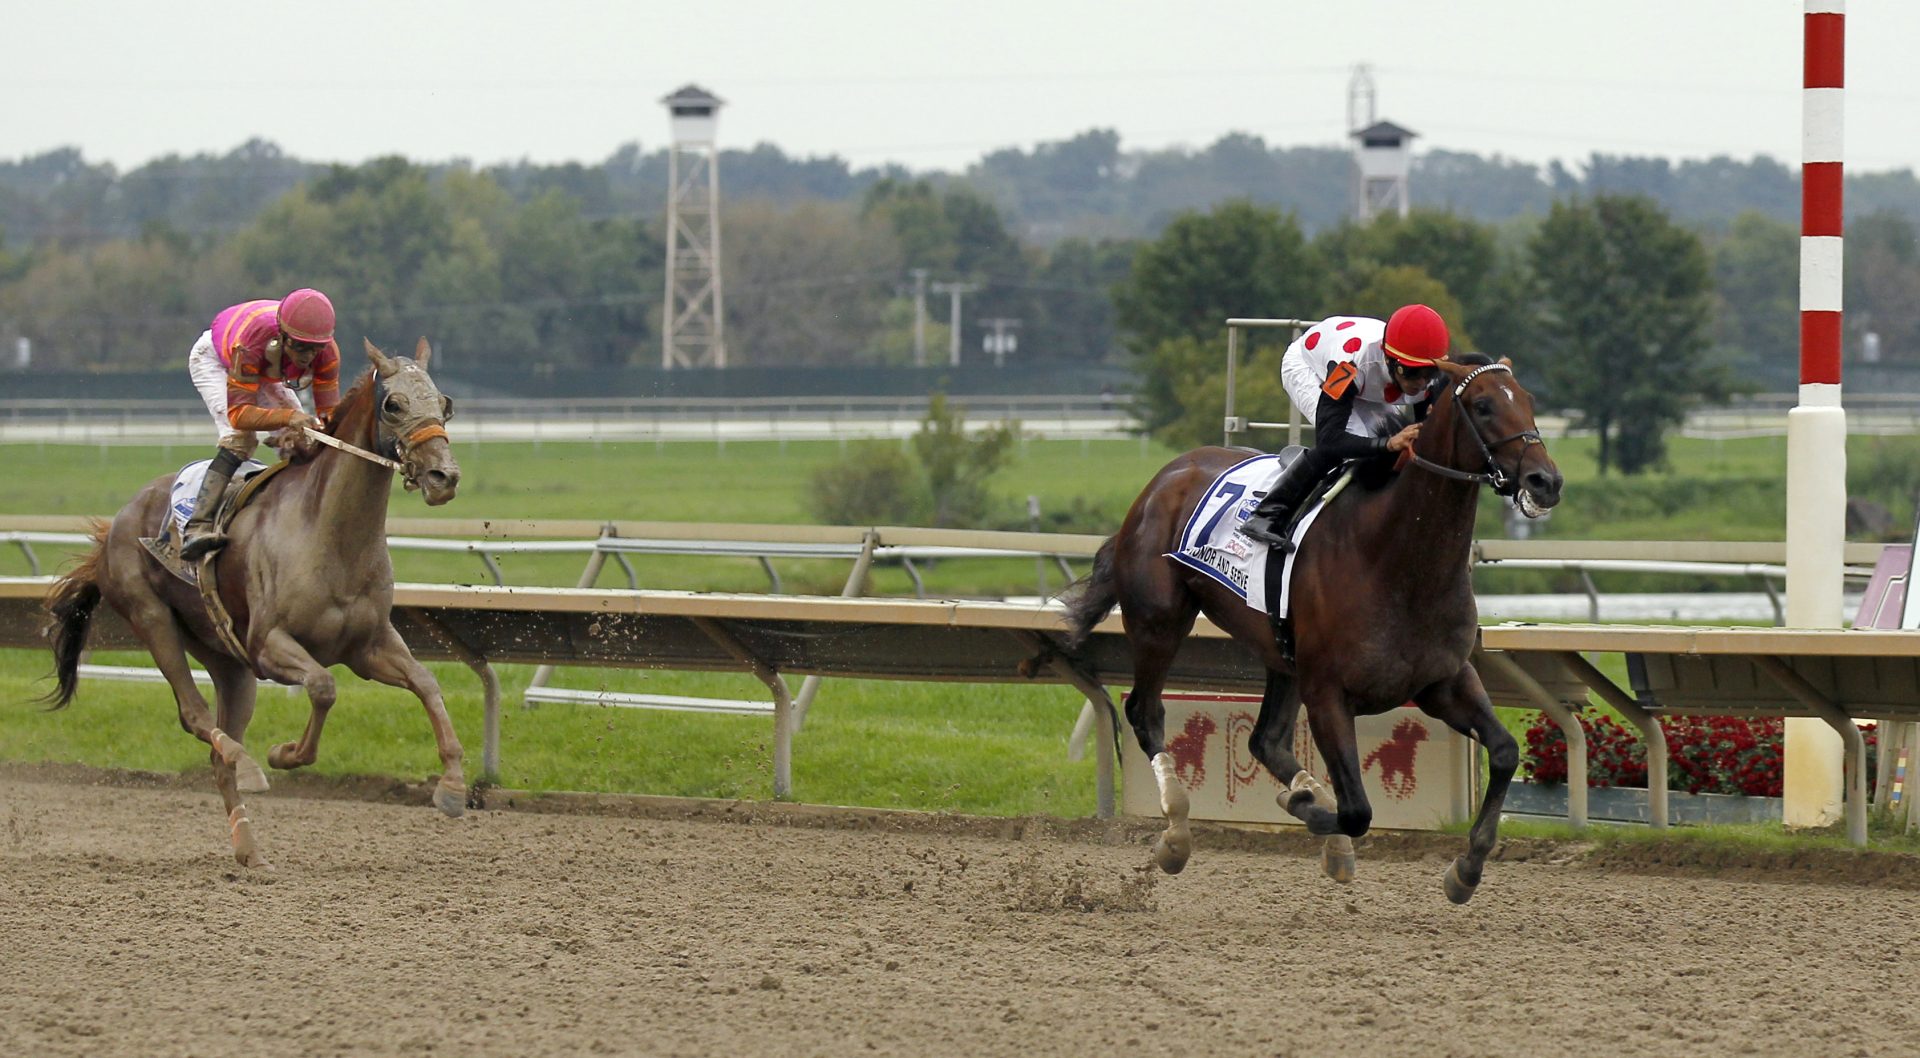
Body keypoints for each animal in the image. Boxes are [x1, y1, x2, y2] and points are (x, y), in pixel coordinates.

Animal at [42, 339, 464, 867]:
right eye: (393, 404)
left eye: (445, 404)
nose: (444, 476)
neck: (329, 534)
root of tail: (113, 526)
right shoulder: (269, 645)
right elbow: (323, 686)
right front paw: (285, 753)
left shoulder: (368, 646)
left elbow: (427, 683)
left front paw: (452, 787)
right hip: (151, 615)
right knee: (196, 715)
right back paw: (245, 763)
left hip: (228, 661)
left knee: (216, 748)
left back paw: (249, 847)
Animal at [1067, 355, 1559, 902]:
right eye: (1484, 405)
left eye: (1530, 401)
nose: (1545, 480)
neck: (1396, 557)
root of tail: (1163, 478)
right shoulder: (1327, 694)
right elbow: (1358, 810)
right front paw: (1302, 806)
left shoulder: (1443, 681)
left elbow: (1504, 751)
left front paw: (1467, 868)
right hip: (1159, 621)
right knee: (1145, 712)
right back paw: (1176, 833)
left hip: (1280, 653)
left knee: (1265, 740)